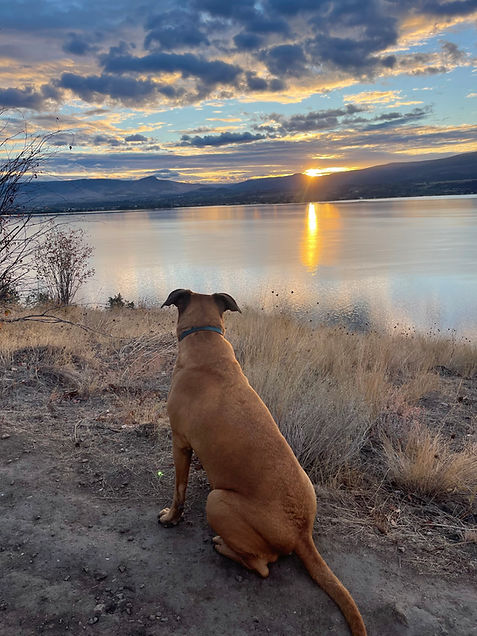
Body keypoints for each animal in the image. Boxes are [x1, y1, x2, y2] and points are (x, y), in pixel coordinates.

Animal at [161, 290, 368, 636]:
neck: (205, 337)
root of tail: (301, 532)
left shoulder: (180, 442)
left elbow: (179, 490)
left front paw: (171, 518)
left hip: (217, 501)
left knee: (262, 566)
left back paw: (223, 546)